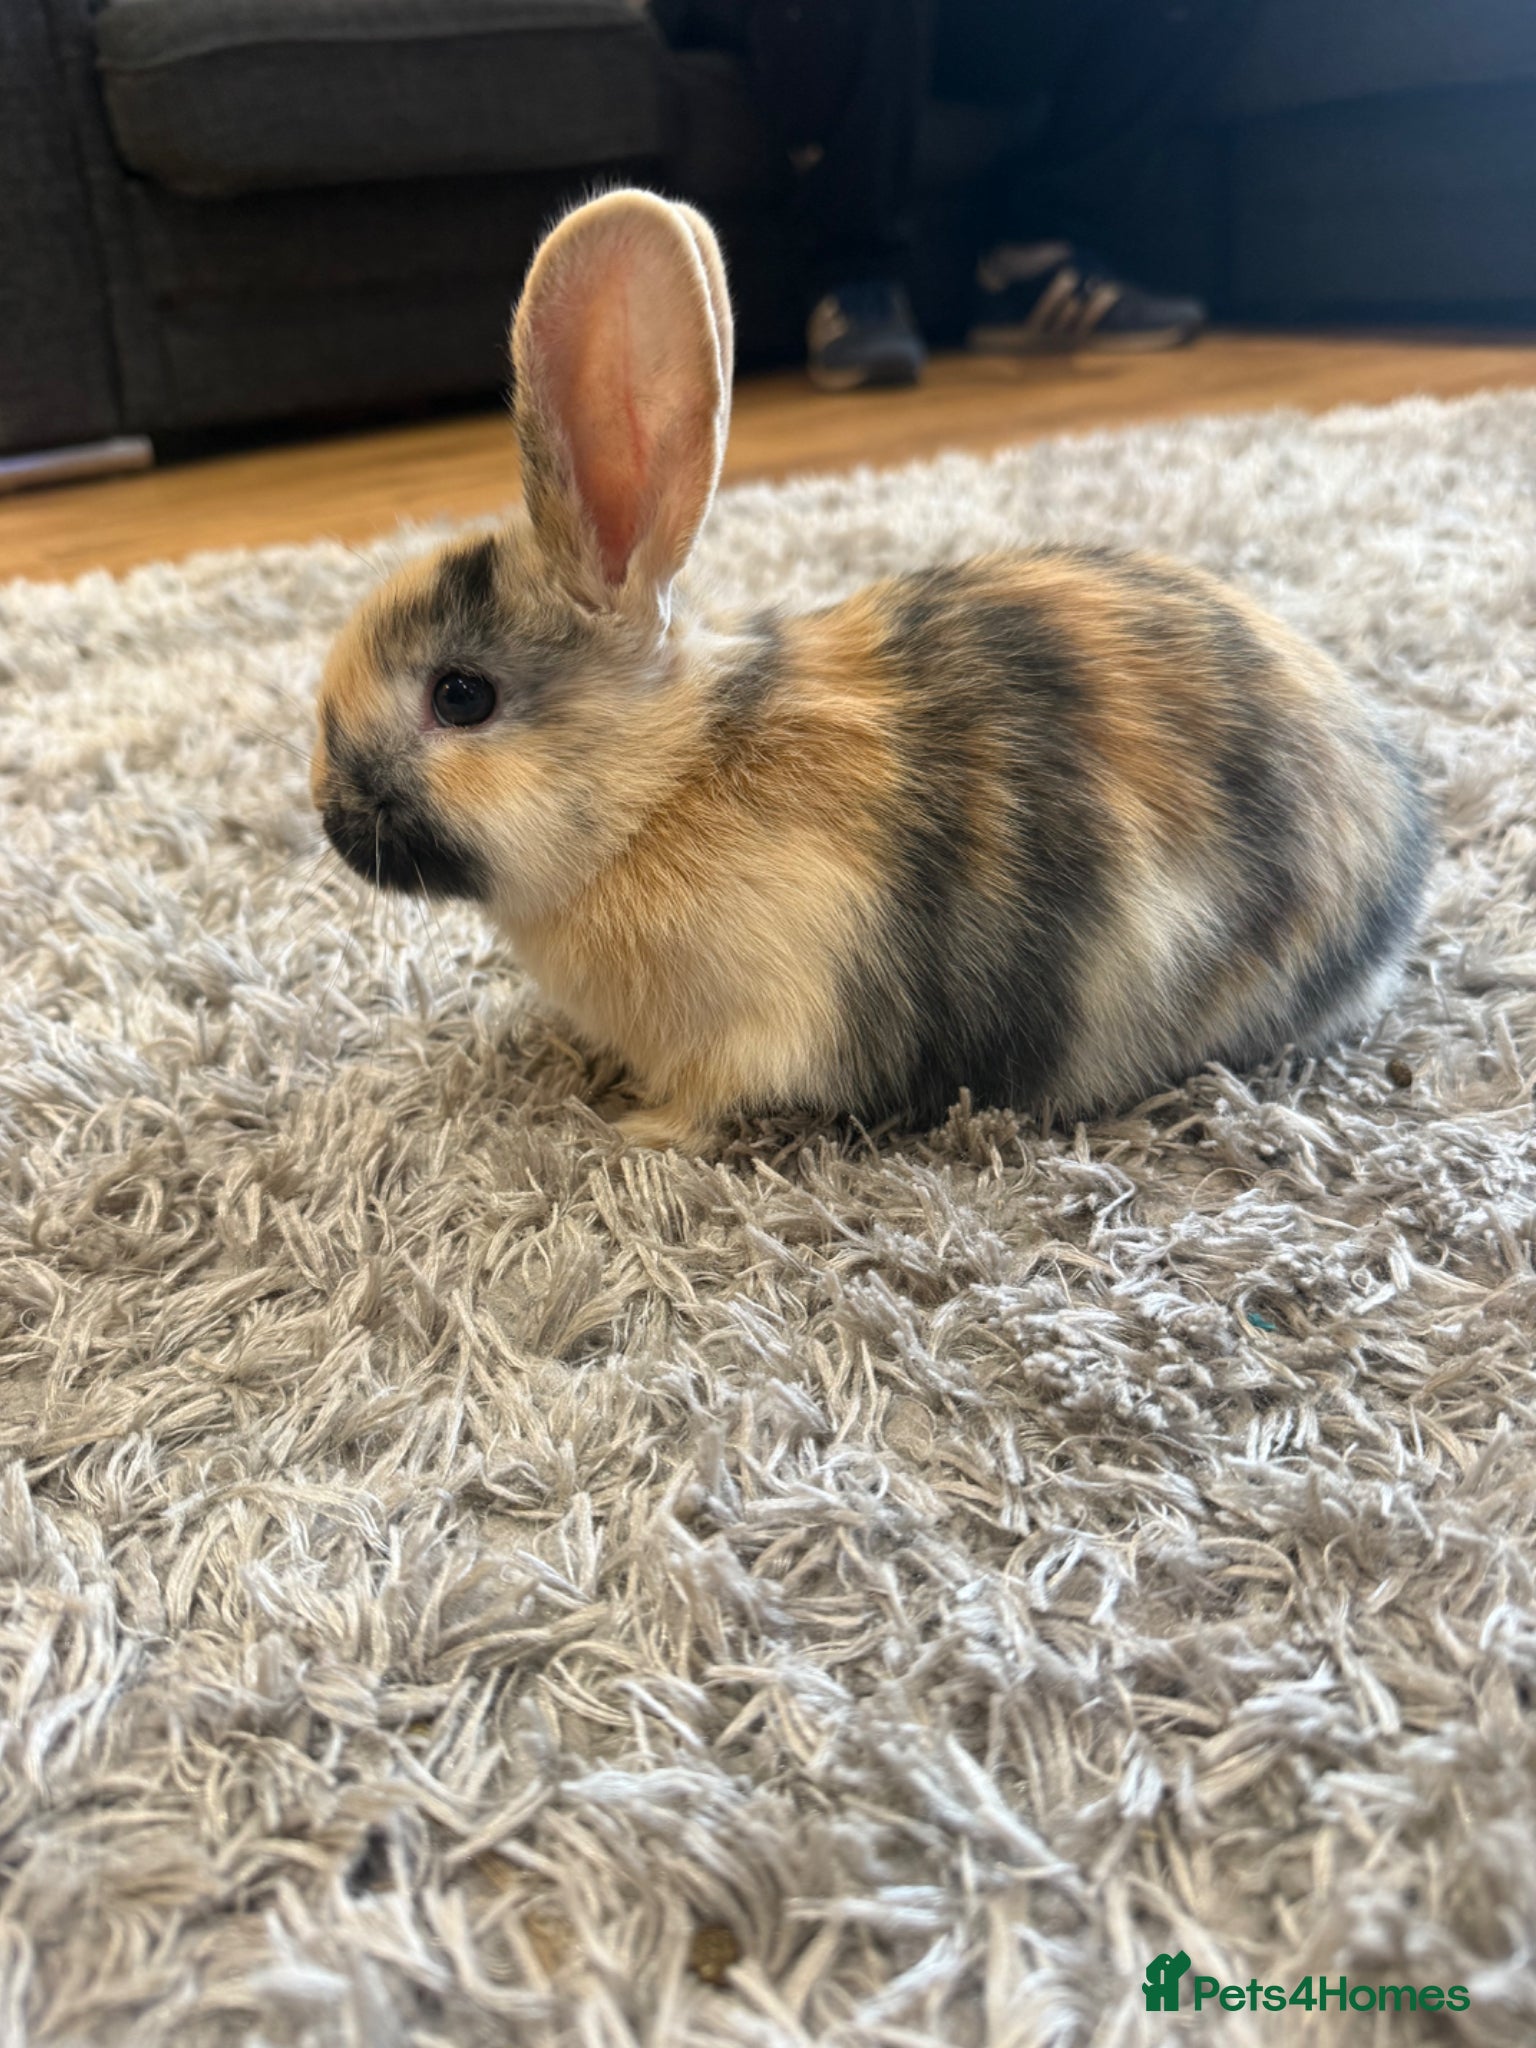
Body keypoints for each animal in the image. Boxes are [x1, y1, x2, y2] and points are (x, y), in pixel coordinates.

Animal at [310, 188, 1431, 1152]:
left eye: (461, 695)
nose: (327, 812)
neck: (659, 789)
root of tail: (1401, 862)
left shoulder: (766, 1020)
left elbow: (712, 1102)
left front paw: (636, 1130)